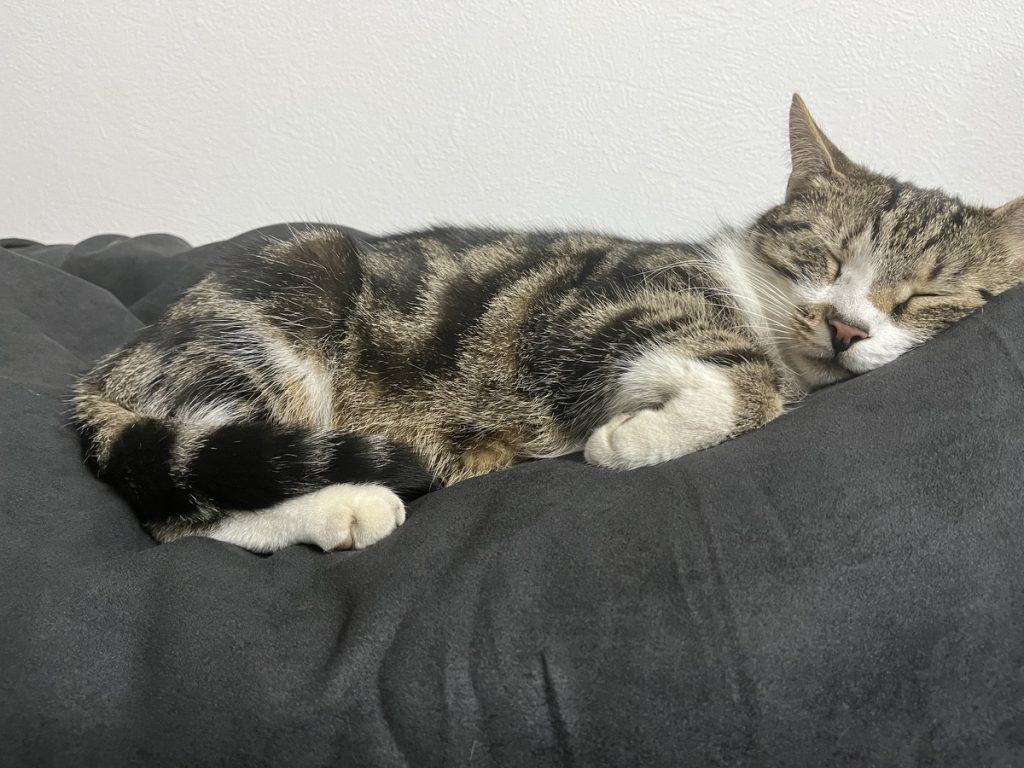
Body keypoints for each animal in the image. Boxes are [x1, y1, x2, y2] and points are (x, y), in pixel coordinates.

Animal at [73, 95, 1023, 553]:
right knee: (180, 511)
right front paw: (631, 439)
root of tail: (109, 371)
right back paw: (349, 503)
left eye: (922, 299)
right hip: (283, 317)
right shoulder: (600, 304)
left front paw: (638, 425)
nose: (845, 327)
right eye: (824, 257)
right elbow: (744, 379)